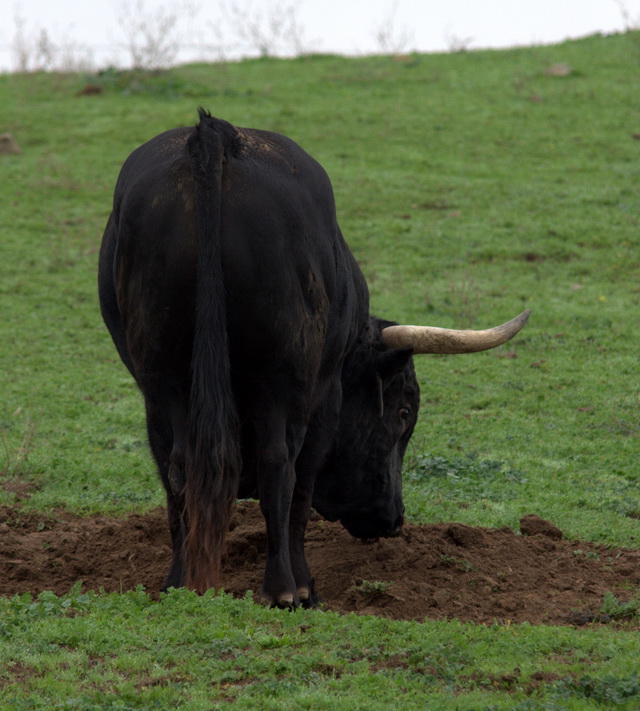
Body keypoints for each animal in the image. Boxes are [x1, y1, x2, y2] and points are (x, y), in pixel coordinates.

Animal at [99, 110, 528, 608]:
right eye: (404, 412)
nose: (393, 519)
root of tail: (215, 137)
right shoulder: (324, 394)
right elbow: (300, 489)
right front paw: (304, 586)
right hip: (283, 379)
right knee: (280, 468)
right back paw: (283, 588)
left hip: (165, 376)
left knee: (182, 467)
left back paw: (182, 583)